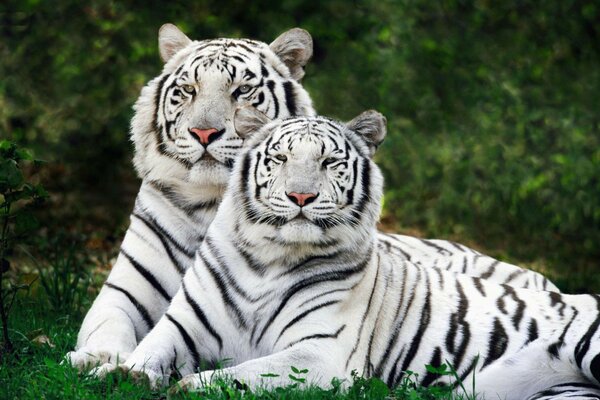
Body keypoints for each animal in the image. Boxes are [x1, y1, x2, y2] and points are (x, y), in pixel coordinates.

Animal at [69, 23, 556, 370]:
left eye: (242, 90)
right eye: (187, 90)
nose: (205, 133)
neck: (212, 202)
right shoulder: (125, 290)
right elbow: (106, 325)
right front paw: (96, 359)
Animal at [105, 110, 596, 400]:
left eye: (329, 163)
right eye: (280, 159)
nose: (300, 196)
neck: (268, 259)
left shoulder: (321, 355)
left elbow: (248, 373)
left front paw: (189, 386)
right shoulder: (183, 327)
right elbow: (148, 351)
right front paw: (121, 373)